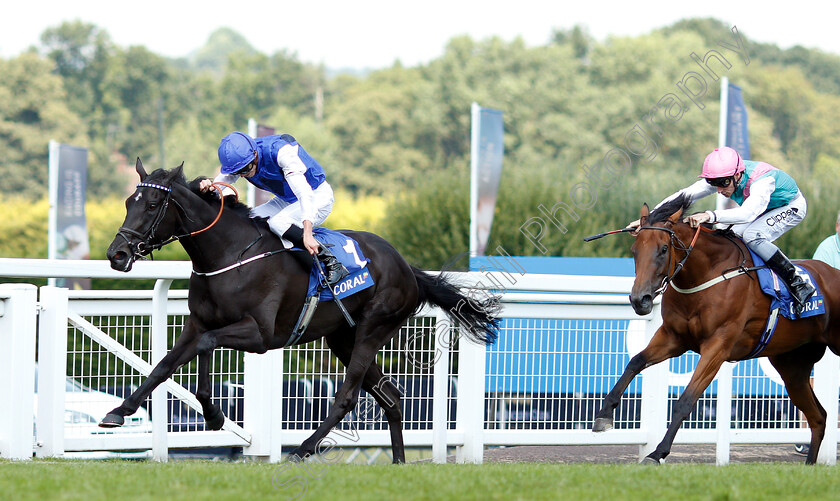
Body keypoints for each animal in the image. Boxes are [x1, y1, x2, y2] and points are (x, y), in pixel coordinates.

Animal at [100, 160, 498, 460]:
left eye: (153, 204)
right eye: (128, 202)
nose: (116, 254)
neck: (229, 253)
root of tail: (407, 268)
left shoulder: (259, 334)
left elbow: (206, 345)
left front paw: (213, 414)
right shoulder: (197, 323)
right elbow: (164, 365)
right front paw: (118, 412)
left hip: (373, 329)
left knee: (347, 397)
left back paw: (304, 448)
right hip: (344, 338)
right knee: (390, 395)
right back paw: (399, 462)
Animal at [592, 194, 840, 464]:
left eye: (664, 249)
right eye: (634, 251)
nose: (640, 300)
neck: (706, 275)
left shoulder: (717, 346)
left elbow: (686, 399)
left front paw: (658, 452)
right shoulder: (673, 338)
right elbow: (635, 362)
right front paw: (604, 413)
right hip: (792, 367)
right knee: (819, 417)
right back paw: (810, 464)